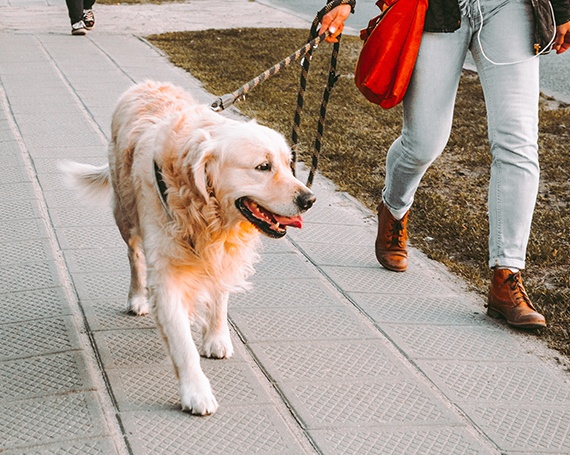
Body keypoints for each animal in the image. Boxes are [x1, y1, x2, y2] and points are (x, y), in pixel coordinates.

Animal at [62, 81, 316, 416]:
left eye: (289, 164)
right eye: (263, 167)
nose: (309, 199)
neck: (205, 212)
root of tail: (144, 83)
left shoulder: (222, 255)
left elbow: (219, 296)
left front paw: (216, 337)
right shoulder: (167, 274)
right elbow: (182, 343)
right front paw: (196, 392)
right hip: (125, 214)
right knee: (134, 256)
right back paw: (137, 297)